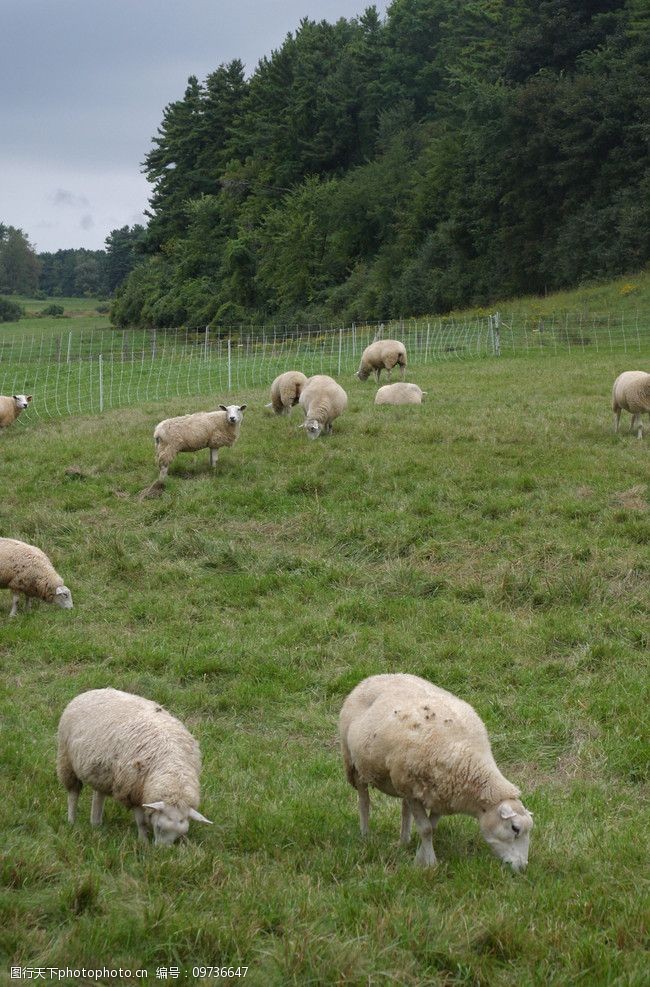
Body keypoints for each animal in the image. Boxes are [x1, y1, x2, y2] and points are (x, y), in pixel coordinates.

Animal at [56, 692, 211, 844]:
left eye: (181, 833)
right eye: (159, 826)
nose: (162, 850)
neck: (172, 770)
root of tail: (89, 692)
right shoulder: (132, 791)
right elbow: (141, 822)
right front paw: (143, 842)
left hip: (100, 770)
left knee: (99, 794)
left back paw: (96, 824)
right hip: (66, 760)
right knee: (73, 794)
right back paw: (72, 821)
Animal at [340, 672, 532, 872]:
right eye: (515, 828)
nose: (522, 867)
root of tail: (374, 677)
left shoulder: (443, 796)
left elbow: (431, 827)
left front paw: (420, 857)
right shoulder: (414, 792)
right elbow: (426, 829)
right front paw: (430, 863)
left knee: (404, 810)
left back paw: (404, 841)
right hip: (354, 764)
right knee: (364, 800)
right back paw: (365, 835)